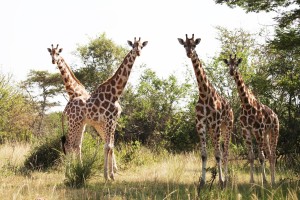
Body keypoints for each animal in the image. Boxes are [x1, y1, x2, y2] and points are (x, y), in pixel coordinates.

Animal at [59, 37, 148, 180]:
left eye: (141, 46)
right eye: (133, 46)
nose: (138, 52)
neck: (115, 93)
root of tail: (66, 107)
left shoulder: (113, 121)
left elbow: (110, 146)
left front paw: (111, 174)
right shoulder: (109, 120)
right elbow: (107, 146)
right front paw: (107, 175)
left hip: (80, 123)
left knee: (75, 145)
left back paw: (76, 170)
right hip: (74, 122)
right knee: (68, 145)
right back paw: (68, 175)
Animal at [178, 34, 234, 188]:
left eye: (194, 45)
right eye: (184, 45)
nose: (189, 53)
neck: (203, 94)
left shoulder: (215, 124)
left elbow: (218, 154)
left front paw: (221, 181)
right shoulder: (201, 124)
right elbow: (204, 154)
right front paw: (202, 183)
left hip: (227, 126)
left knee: (226, 152)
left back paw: (227, 179)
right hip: (214, 129)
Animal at [223, 54, 278, 185]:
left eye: (236, 63)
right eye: (228, 64)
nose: (231, 71)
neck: (247, 105)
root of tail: (276, 115)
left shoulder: (258, 130)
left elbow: (261, 157)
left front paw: (264, 181)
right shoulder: (246, 130)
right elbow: (252, 157)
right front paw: (252, 181)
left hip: (274, 131)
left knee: (273, 155)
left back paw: (273, 181)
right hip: (266, 134)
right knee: (270, 154)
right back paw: (272, 179)